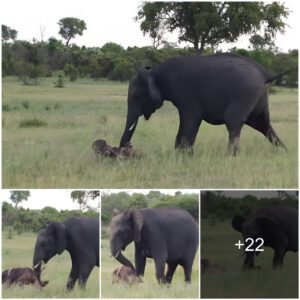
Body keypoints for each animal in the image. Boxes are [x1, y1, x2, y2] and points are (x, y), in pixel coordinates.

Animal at [120, 54, 290, 156]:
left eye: (137, 96)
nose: (128, 148)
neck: (154, 72)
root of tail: (265, 74)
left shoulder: (185, 92)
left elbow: (191, 120)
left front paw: (184, 156)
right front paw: (180, 155)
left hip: (245, 93)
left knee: (233, 121)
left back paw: (230, 157)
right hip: (257, 96)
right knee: (262, 124)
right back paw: (285, 152)